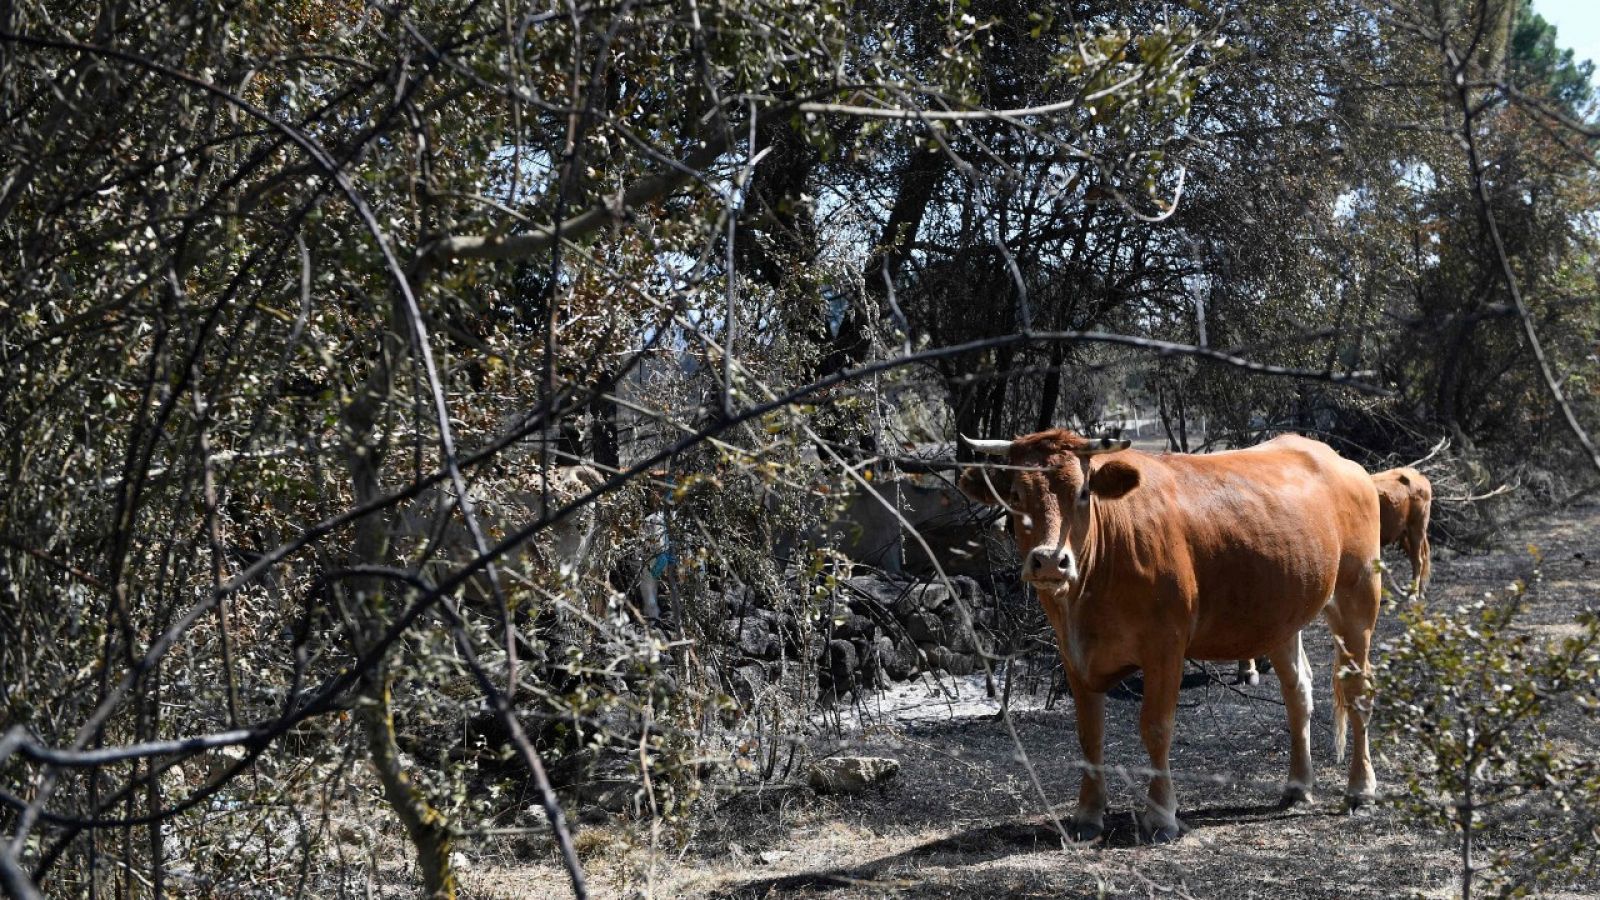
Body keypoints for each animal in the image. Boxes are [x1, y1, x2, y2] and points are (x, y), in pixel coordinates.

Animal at [953, 432, 1382, 839]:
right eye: (1014, 495)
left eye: (1082, 492)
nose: (1049, 561)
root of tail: (1342, 462)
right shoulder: (1073, 655)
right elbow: (1089, 735)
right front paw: (1087, 815)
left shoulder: (1165, 647)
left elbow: (1156, 728)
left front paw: (1161, 816)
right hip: (1281, 616)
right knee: (1298, 693)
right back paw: (1297, 785)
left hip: (1357, 597)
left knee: (1359, 693)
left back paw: (1361, 790)